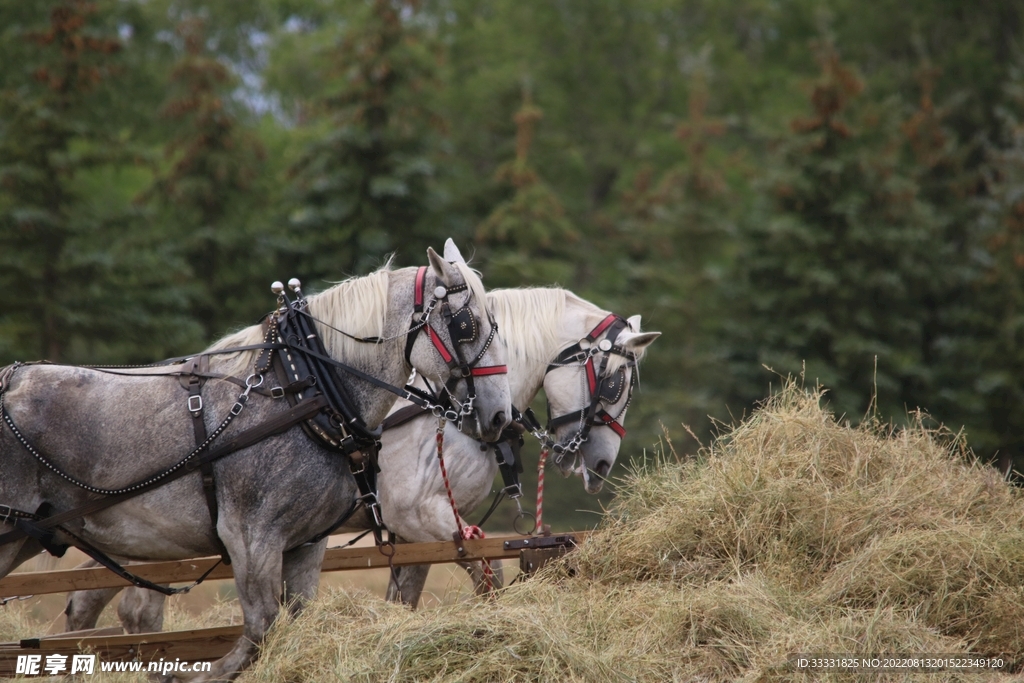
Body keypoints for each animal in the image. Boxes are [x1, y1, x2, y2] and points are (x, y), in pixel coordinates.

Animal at [0, 241, 511, 682]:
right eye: (468, 324)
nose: (500, 415)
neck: (304, 392)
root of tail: (9, 381)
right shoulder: (251, 536)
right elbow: (261, 629)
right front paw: (192, 677)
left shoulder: (306, 544)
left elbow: (293, 622)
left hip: (36, 534)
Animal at [63, 287, 659, 629]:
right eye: (613, 382)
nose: (600, 467)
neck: (443, 405)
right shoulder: (420, 515)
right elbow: (487, 575)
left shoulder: (417, 536)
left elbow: (408, 598)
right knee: (112, 607)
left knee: (112, 603)